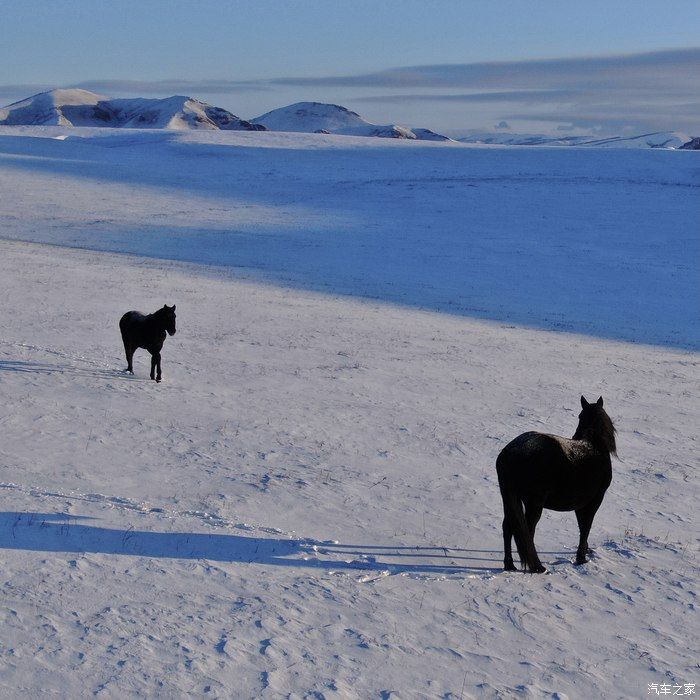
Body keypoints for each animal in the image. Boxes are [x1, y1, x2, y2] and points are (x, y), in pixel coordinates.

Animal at [494, 396, 616, 572]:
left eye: (580, 416)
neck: (594, 446)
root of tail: (508, 453)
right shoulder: (594, 500)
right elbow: (586, 526)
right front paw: (581, 558)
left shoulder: (579, 504)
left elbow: (582, 526)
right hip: (534, 505)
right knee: (527, 531)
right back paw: (536, 567)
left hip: (510, 500)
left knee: (508, 527)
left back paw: (509, 565)